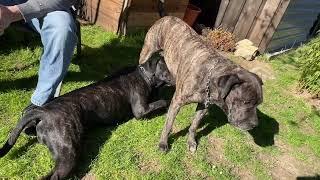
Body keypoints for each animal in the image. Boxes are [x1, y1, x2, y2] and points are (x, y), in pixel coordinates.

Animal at [0, 53, 174, 180]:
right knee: (55, 176)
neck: (146, 75)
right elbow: (163, 101)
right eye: (168, 67)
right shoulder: (140, 110)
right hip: (68, 153)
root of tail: (43, 111)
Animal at [139, 16, 264, 153]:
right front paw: (163, 143)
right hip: (147, 50)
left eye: (258, 103)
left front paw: (191, 142)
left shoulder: (204, 106)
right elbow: (168, 124)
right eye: (246, 101)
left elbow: (194, 125)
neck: (210, 77)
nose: (254, 125)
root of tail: (168, 17)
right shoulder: (177, 102)